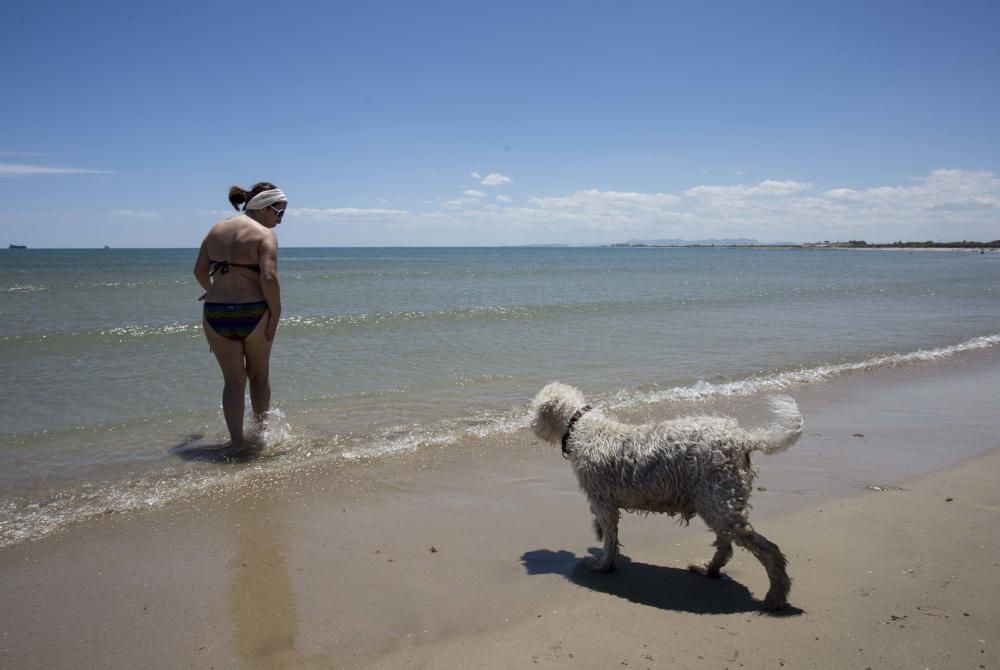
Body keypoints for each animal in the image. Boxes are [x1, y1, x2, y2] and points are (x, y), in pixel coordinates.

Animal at [532, 384, 804, 616]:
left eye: (534, 410)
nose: (530, 424)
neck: (581, 426)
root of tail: (743, 439)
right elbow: (607, 532)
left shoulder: (604, 501)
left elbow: (610, 538)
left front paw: (603, 564)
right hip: (716, 501)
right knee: (726, 546)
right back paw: (708, 568)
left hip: (719, 502)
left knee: (769, 550)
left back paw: (776, 596)